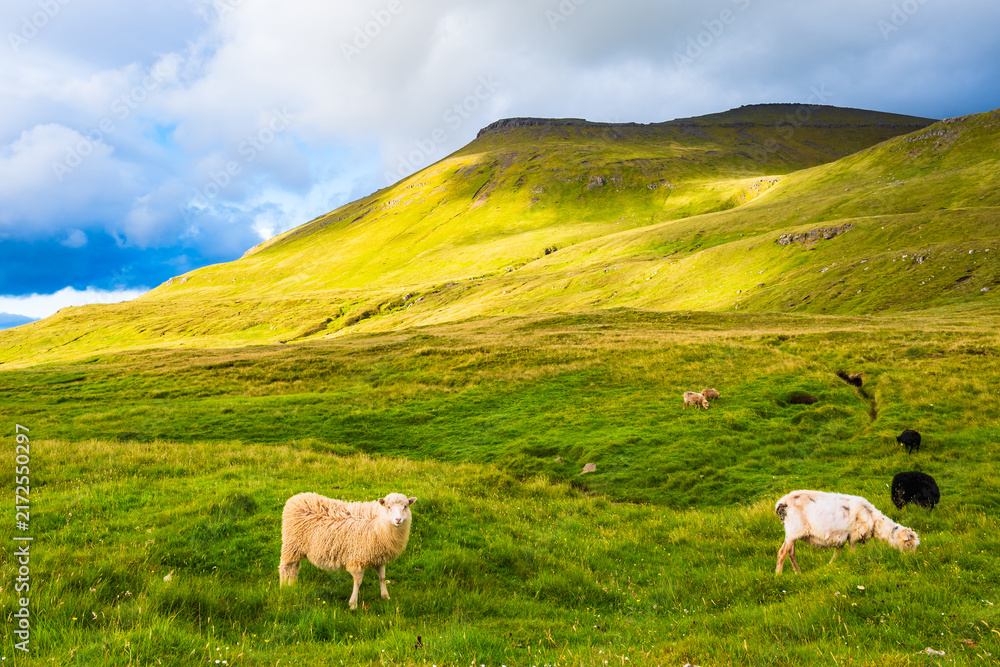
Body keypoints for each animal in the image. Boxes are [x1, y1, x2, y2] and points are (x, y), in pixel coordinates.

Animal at [279, 492, 417, 609]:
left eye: (405, 506)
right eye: (388, 507)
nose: (398, 520)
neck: (379, 523)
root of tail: (296, 498)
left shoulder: (379, 557)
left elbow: (382, 577)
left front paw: (385, 597)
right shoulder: (357, 558)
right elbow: (358, 582)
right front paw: (353, 604)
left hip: (298, 548)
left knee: (295, 566)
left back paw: (292, 584)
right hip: (290, 544)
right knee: (284, 566)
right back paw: (283, 587)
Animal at [774, 489, 919, 574]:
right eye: (908, 544)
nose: (912, 560)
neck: (873, 518)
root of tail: (781, 503)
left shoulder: (843, 537)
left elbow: (837, 552)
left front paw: (830, 565)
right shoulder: (854, 535)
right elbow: (852, 552)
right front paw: (854, 561)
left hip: (792, 533)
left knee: (790, 552)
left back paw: (798, 573)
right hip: (793, 530)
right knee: (782, 553)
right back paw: (778, 574)